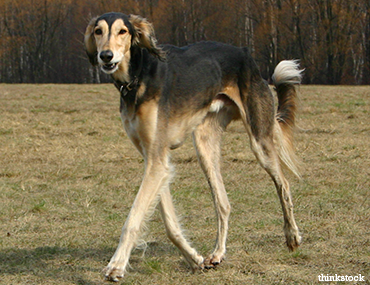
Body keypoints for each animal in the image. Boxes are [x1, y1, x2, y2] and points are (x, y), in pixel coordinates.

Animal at [84, 12, 304, 280]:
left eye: (122, 31)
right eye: (98, 31)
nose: (106, 56)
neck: (138, 76)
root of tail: (245, 54)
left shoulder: (157, 162)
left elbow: (133, 218)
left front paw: (116, 266)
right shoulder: (155, 161)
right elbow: (169, 222)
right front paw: (193, 258)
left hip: (259, 139)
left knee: (283, 184)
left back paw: (292, 236)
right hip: (204, 145)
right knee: (223, 203)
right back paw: (217, 253)